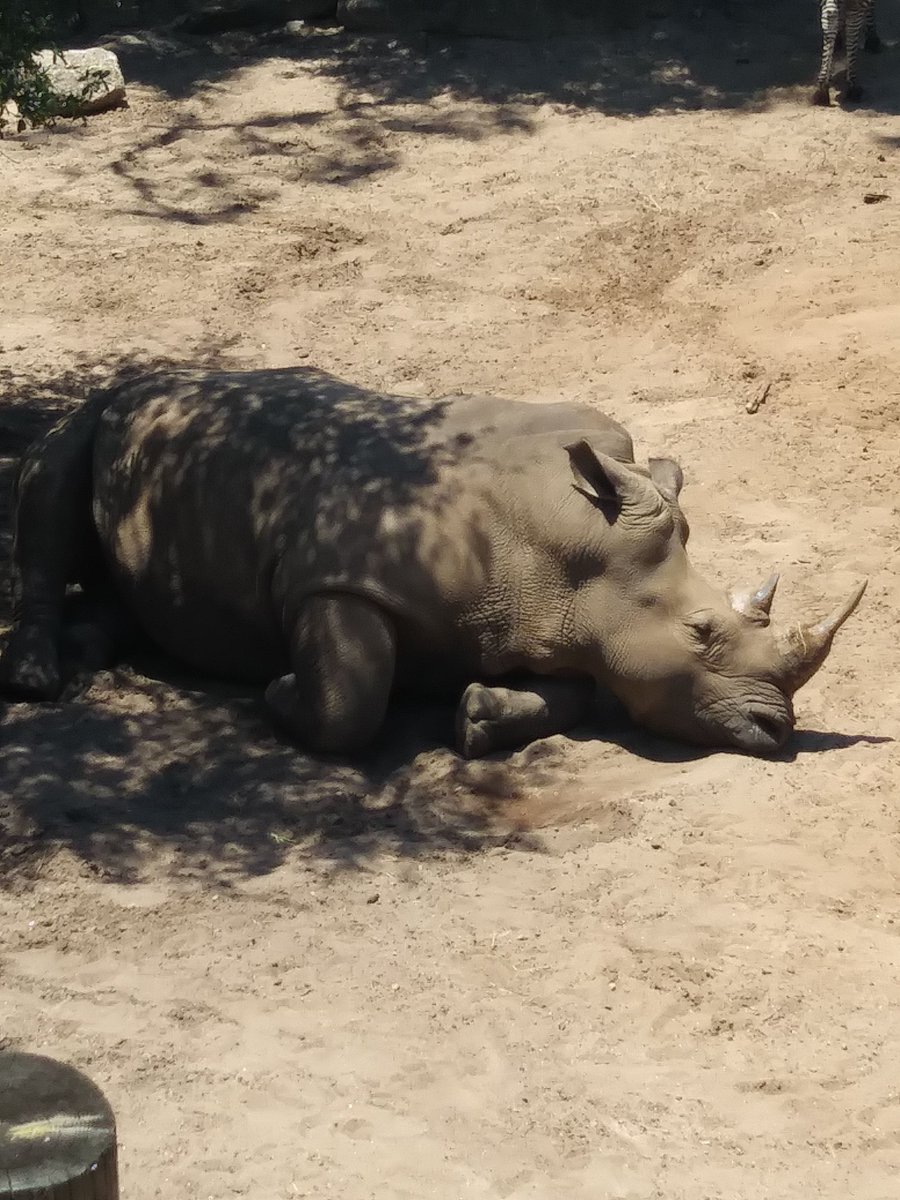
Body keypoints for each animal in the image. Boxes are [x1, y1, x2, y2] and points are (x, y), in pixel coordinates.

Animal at [0, 366, 865, 759]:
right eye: (701, 633)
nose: (777, 730)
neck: (565, 546)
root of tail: (147, 378)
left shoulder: (552, 615)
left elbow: (578, 688)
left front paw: (478, 715)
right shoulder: (336, 581)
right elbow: (350, 701)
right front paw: (278, 691)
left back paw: (93, 648)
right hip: (102, 408)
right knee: (51, 480)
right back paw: (40, 679)